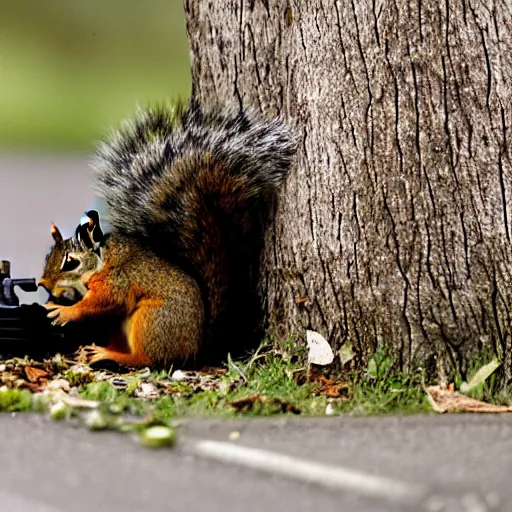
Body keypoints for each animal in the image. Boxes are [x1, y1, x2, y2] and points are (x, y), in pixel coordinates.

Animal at [38, 103, 298, 368]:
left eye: (71, 262)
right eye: (48, 256)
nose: (43, 284)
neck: (100, 262)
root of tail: (197, 349)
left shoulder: (117, 282)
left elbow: (105, 302)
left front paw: (66, 311)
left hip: (152, 319)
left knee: (146, 358)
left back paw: (111, 355)